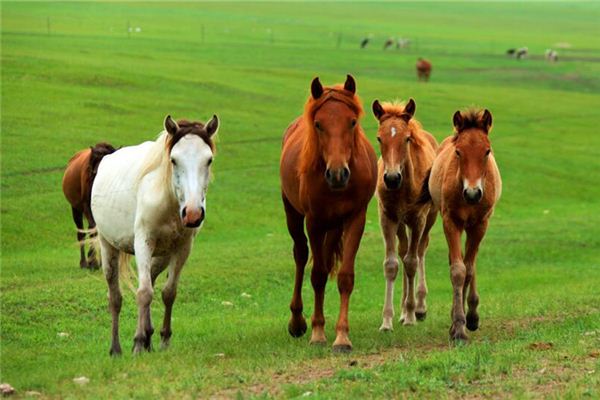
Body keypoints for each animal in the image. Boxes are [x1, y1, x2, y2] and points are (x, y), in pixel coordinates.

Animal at [62, 142, 116, 270]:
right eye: (95, 163)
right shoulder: (86, 206)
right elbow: (92, 228)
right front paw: (93, 261)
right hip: (75, 208)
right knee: (81, 233)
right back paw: (83, 262)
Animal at [91, 114, 218, 354]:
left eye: (209, 160)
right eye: (174, 160)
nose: (193, 213)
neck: (169, 203)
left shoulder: (182, 248)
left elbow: (168, 293)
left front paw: (163, 340)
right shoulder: (143, 242)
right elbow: (144, 293)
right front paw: (138, 343)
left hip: (162, 256)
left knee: (150, 278)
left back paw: (148, 336)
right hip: (108, 246)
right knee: (115, 298)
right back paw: (116, 348)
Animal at [280, 73, 376, 352]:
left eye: (352, 122)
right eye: (319, 124)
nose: (337, 174)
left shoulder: (355, 218)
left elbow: (345, 277)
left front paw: (342, 336)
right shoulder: (314, 221)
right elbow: (318, 275)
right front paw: (318, 332)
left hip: (334, 226)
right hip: (294, 215)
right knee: (301, 255)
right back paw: (298, 321)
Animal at [372, 98, 438, 330]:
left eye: (407, 138)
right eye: (379, 138)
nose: (391, 178)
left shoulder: (418, 218)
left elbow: (411, 262)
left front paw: (410, 314)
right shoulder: (387, 217)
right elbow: (392, 264)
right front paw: (387, 320)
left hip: (429, 218)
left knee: (419, 251)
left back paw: (419, 307)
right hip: (401, 223)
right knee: (403, 251)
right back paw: (401, 310)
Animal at [422, 109, 502, 344]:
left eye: (487, 151)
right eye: (458, 152)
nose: (473, 193)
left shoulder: (480, 224)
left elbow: (468, 269)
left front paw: (465, 320)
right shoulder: (451, 222)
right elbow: (458, 270)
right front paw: (458, 328)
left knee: (471, 263)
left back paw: (473, 315)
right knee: (461, 262)